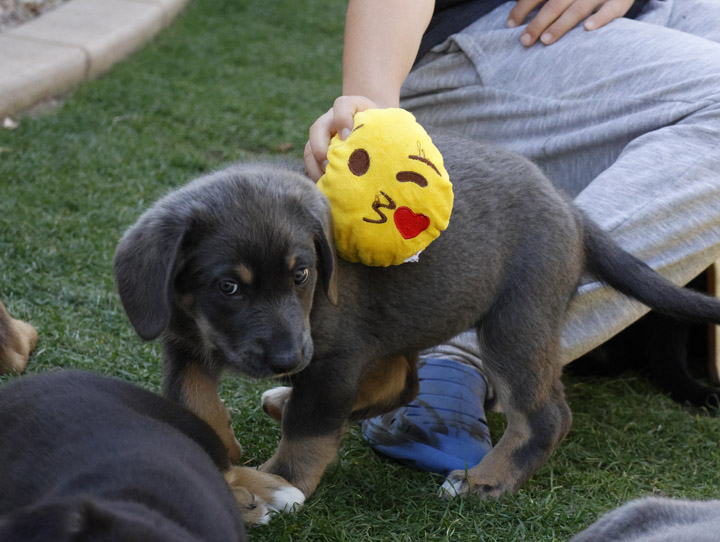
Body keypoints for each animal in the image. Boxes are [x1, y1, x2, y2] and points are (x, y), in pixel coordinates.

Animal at [115, 134, 720, 508]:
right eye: (229, 286)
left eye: (301, 274)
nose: (288, 359)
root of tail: (569, 207)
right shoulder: (183, 338)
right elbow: (191, 397)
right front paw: (220, 448)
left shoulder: (335, 354)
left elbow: (309, 431)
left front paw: (275, 486)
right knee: (401, 382)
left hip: (515, 324)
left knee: (544, 416)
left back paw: (486, 482)